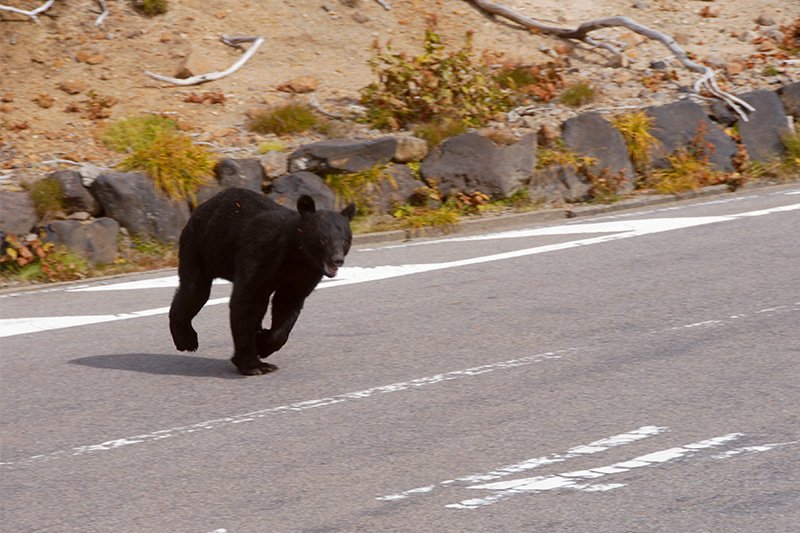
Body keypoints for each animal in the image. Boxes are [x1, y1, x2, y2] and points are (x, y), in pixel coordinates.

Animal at [169, 188, 355, 375]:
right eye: (323, 239)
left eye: (345, 240)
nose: (337, 260)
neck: (297, 256)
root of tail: (202, 206)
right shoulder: (260, 254)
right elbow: (246, 301)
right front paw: (254, 364)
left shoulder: (303, 276)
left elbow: (288, 304)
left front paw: (263, 343)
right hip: (199, 247)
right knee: (195, 290)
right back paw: (186, 339)